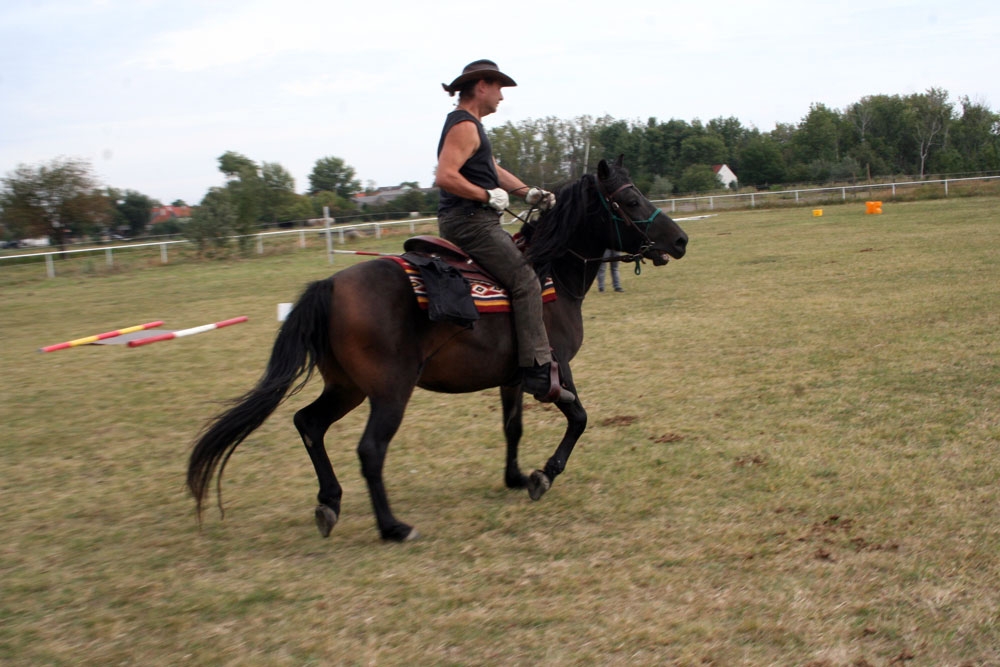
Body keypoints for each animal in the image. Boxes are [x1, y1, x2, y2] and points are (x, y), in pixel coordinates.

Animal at [188, 158, 688, 544]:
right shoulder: (555, 367)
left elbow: (513, 428)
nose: (680, 240)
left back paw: (329, 503)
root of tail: (329, 286)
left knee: (308, 423)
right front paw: (544, 475)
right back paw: (392, 527)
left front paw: (515, 477)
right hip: (389, 392)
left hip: (347, 388)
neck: (550, 272)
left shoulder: (514, 377)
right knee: (370, 450)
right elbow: (579, 417)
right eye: (631, 200)